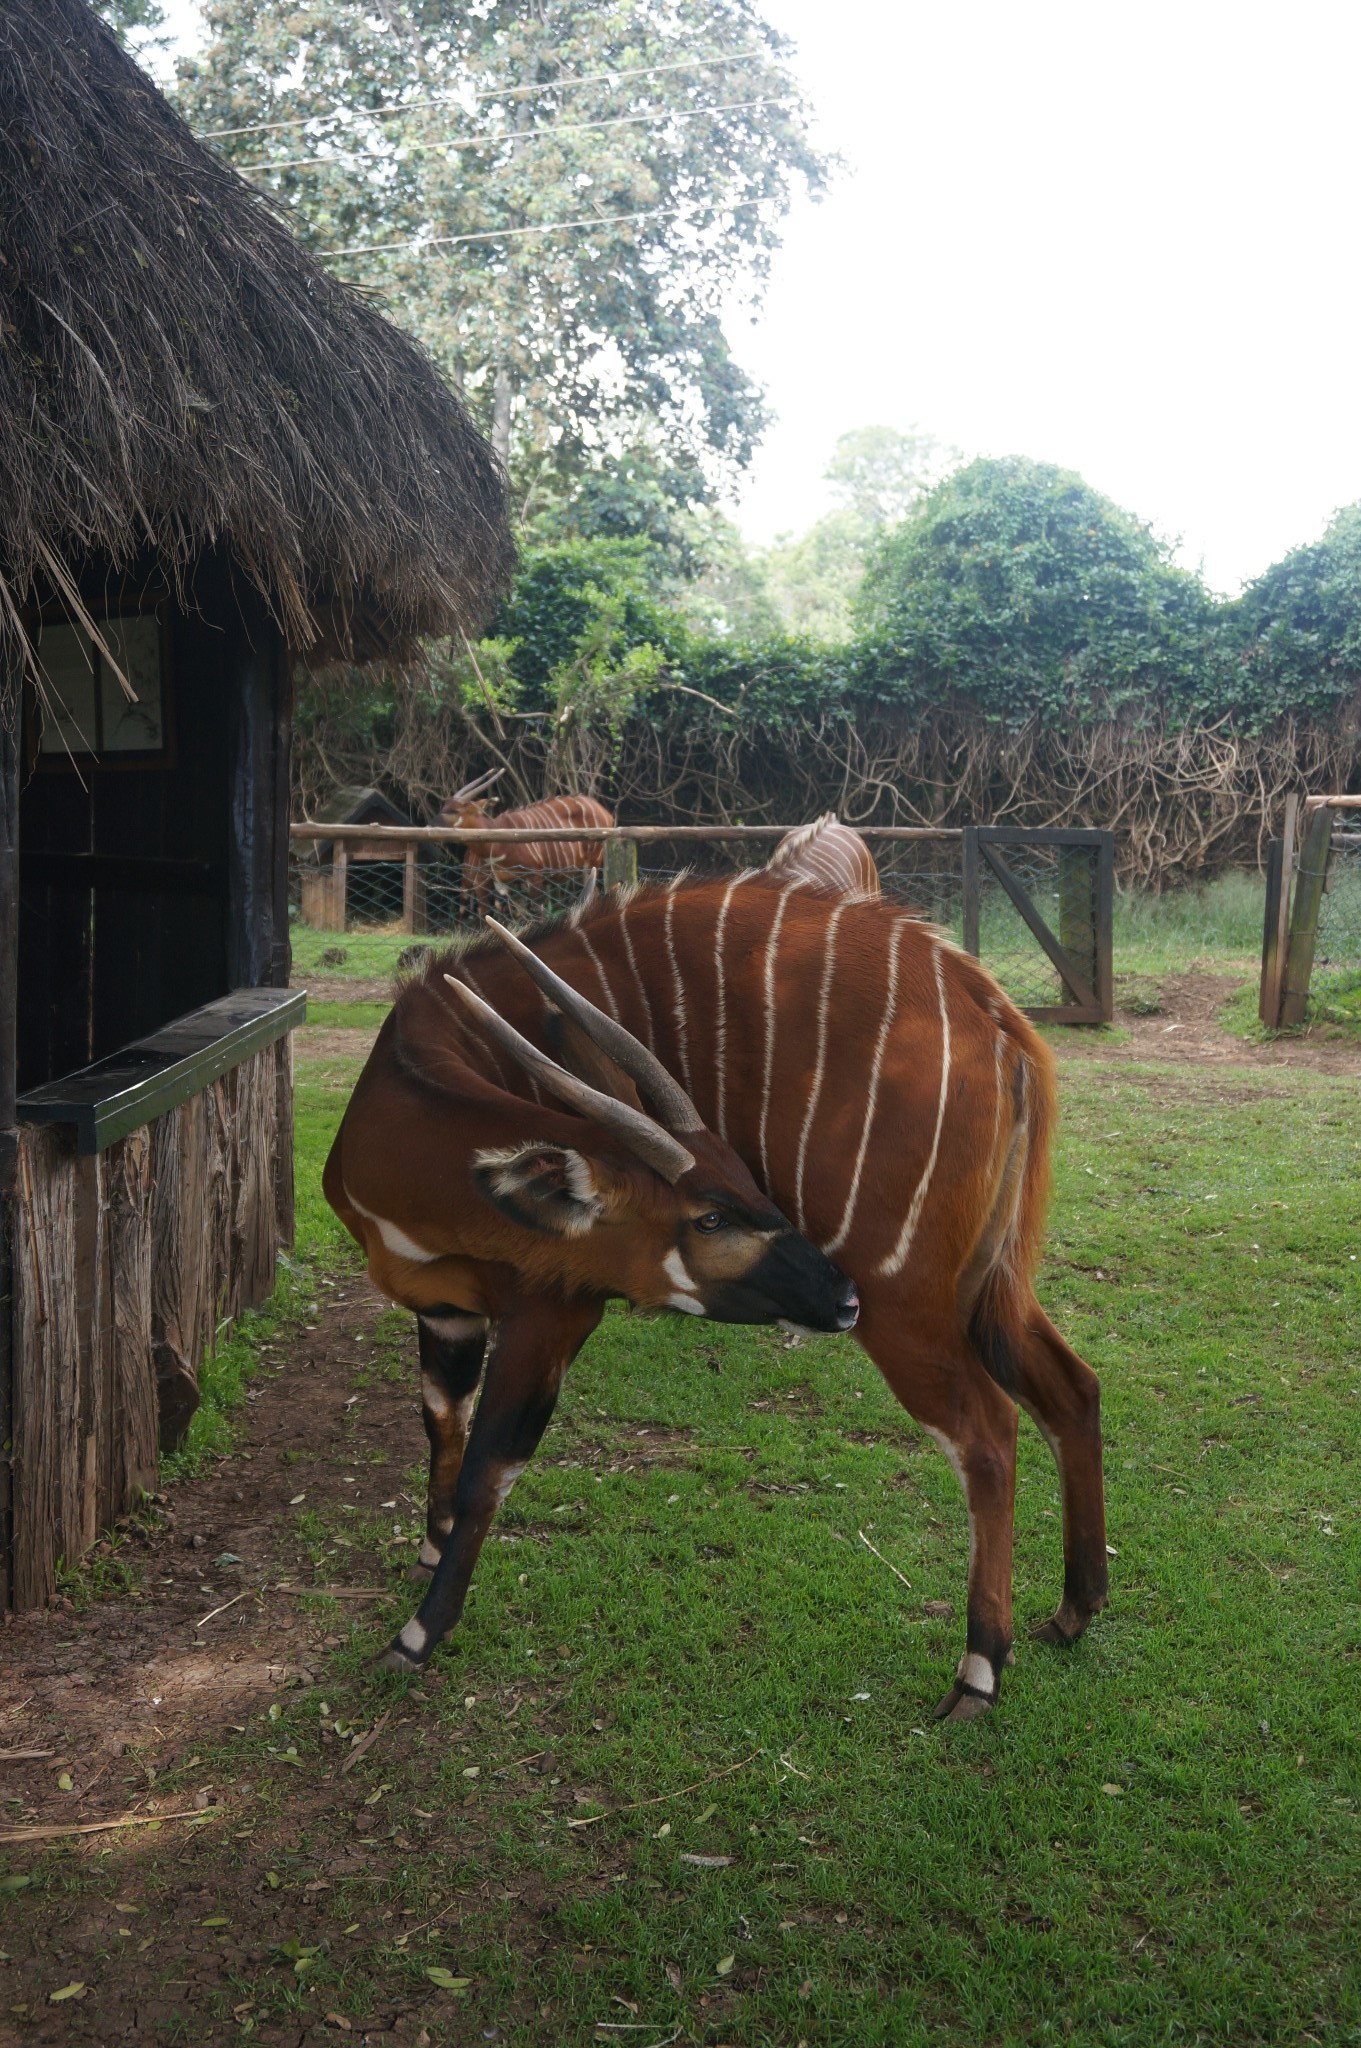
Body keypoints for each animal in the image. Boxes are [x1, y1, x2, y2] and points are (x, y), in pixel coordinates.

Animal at [323, 921, 855, 1671]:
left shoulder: (551, 1316)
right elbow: (443, 1421)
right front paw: (431, 1548)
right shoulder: (446, 1312)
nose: (844, 1298)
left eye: (748, 1182)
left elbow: (492, 1466)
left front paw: (418, 1633)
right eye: (710, 1218)